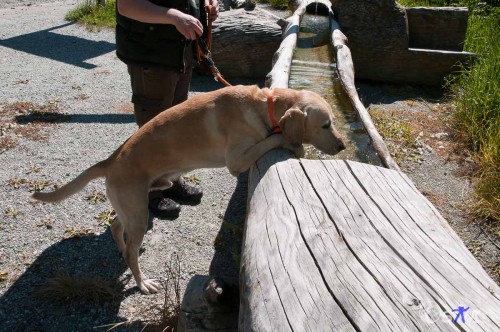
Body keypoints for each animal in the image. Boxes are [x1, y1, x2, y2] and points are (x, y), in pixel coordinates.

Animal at [33, 85, 346, 294]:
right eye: (326, 124)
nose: (343, 145)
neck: (264, 106)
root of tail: (111, 159)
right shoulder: (237, 160)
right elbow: (272, 140)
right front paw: (294, 144)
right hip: (138, 213)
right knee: (130, 251)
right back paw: (142, 281)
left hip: (132, 208)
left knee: (115, 227)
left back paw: (123, 249)